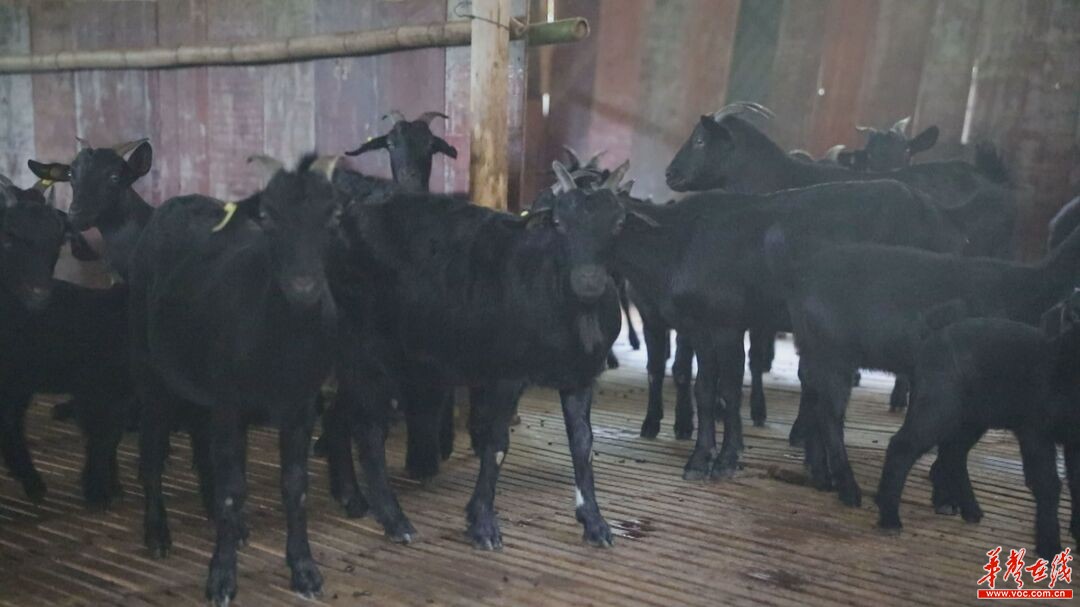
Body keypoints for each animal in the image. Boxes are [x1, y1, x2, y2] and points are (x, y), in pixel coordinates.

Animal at [129, 156, 342, 604]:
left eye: (334, 216)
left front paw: (304, 568)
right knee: (152, 450)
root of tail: (180, 199)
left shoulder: (301, 405)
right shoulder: (231, 402)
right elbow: (233, 488)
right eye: (268, 217)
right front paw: (222, 577)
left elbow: (294, 486)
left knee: (199, 436)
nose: (303, 285)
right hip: (149, 367)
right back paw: (157, 532)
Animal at [765, 221, 1080, 508]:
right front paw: (947, 498)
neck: (1027, 291)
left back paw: (821, 477)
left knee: (814, 401)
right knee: (830, 416)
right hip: (833, 353)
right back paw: (849, 491)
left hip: (816, 350)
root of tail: (797, 273)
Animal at [877, 290, 1080, 559]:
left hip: (971, 417)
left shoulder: (1075, 441)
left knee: (953, 453)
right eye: (1071, 315)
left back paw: (969, 509)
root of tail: (931, 337)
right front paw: (1049, 546)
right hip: (937, 404)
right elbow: (1048, 484)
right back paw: (890, 518)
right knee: (903, 447)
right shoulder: (1035, 431)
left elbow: (1077, 482)